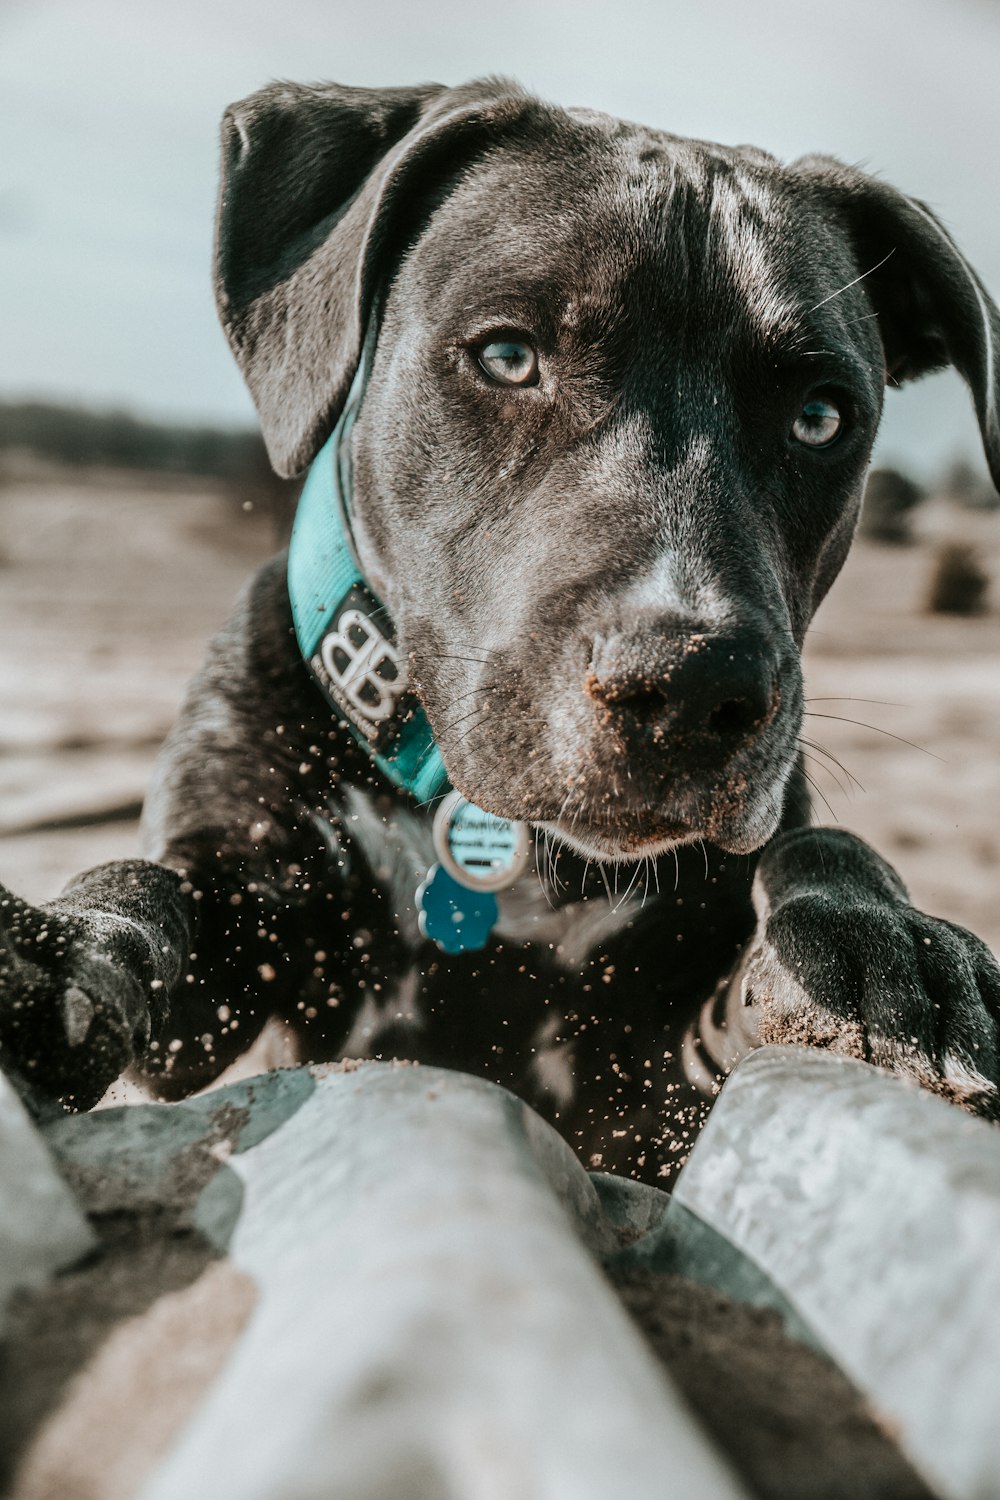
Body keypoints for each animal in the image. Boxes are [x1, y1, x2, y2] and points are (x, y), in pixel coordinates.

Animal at [1, 79, 1000, 1182]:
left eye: (823, 416)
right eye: (508, 356)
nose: (692, 686)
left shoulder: (655, 1084)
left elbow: (827, 851)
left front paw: (890, 952)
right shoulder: (228, 961)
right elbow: (149, 889)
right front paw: (66, 942)